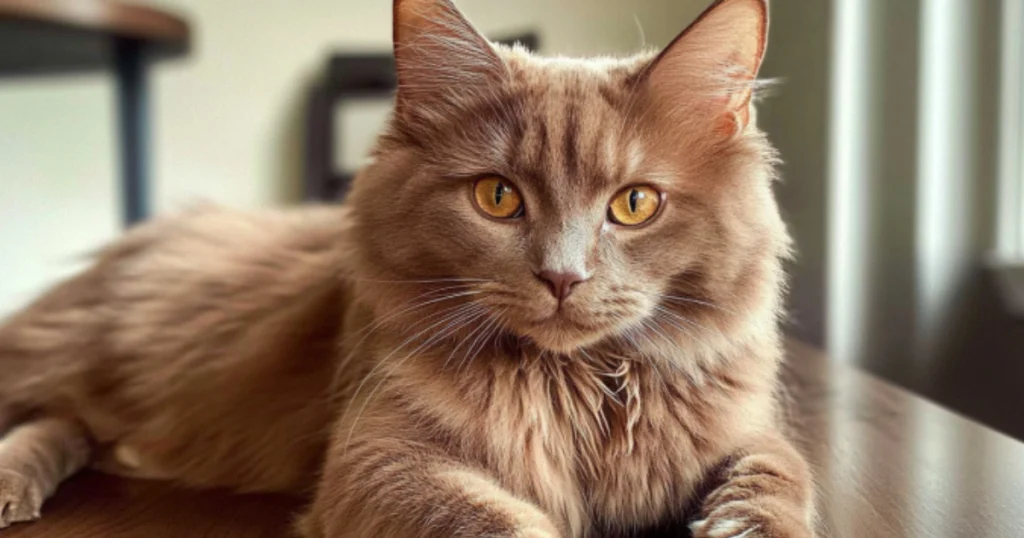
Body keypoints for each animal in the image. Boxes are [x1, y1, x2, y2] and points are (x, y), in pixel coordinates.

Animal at [0, 0, 815, 532]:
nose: (562, 278)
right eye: (498, 197)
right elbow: (503, 522)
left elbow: (783, 478)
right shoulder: (381, 459)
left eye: (636, 204)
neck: (577, 389)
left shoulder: (742, 431)